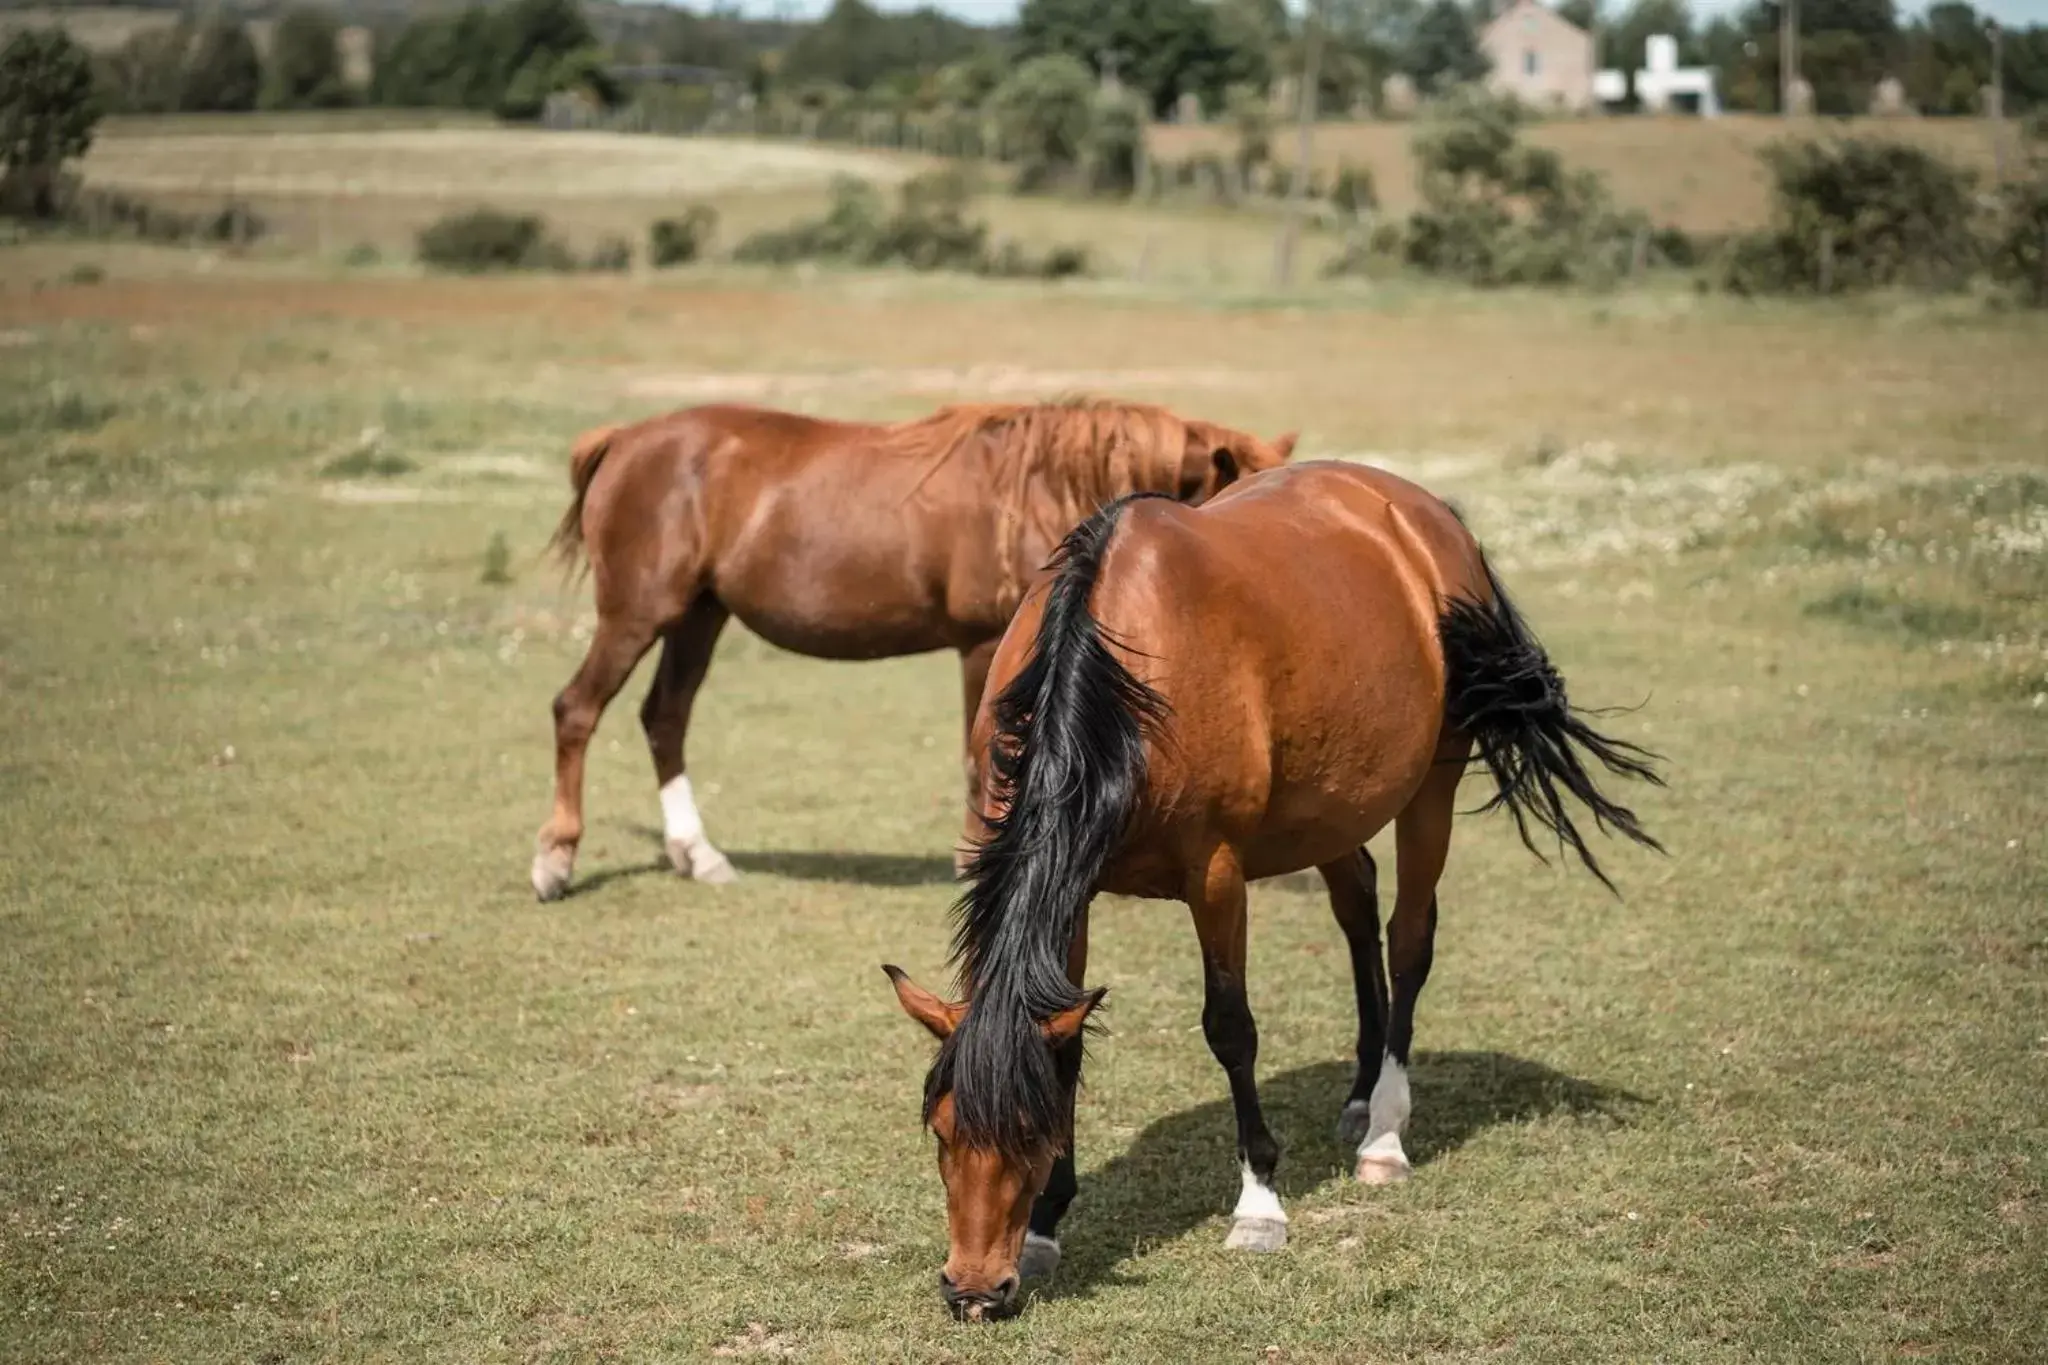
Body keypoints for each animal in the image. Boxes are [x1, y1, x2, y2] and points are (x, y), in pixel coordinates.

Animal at [528, 401, 1294, 900]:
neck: (1042, 485)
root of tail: (625, 439)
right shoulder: (984, 644)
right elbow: (986, 757)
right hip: (638, 614)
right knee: (577, 709)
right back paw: (556, 862)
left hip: (698, 617)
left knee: (665, 717)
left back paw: (697, 853)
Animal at [880, 462, 1662, 1326]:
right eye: (943, 1131)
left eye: (1026, 1134)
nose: (974, 1290)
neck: (1124, 672)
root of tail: (1427, 517)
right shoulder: (1075, 893)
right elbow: (1071, 1044)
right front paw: (1049, 1224)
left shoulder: (1217, 875)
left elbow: (1231, 1027)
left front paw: (1259, 1202)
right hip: (1331, 804)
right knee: (1357, 906)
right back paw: (1358, 1093)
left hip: (1432, 783)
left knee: (1409, 937)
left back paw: (1384, 1132)